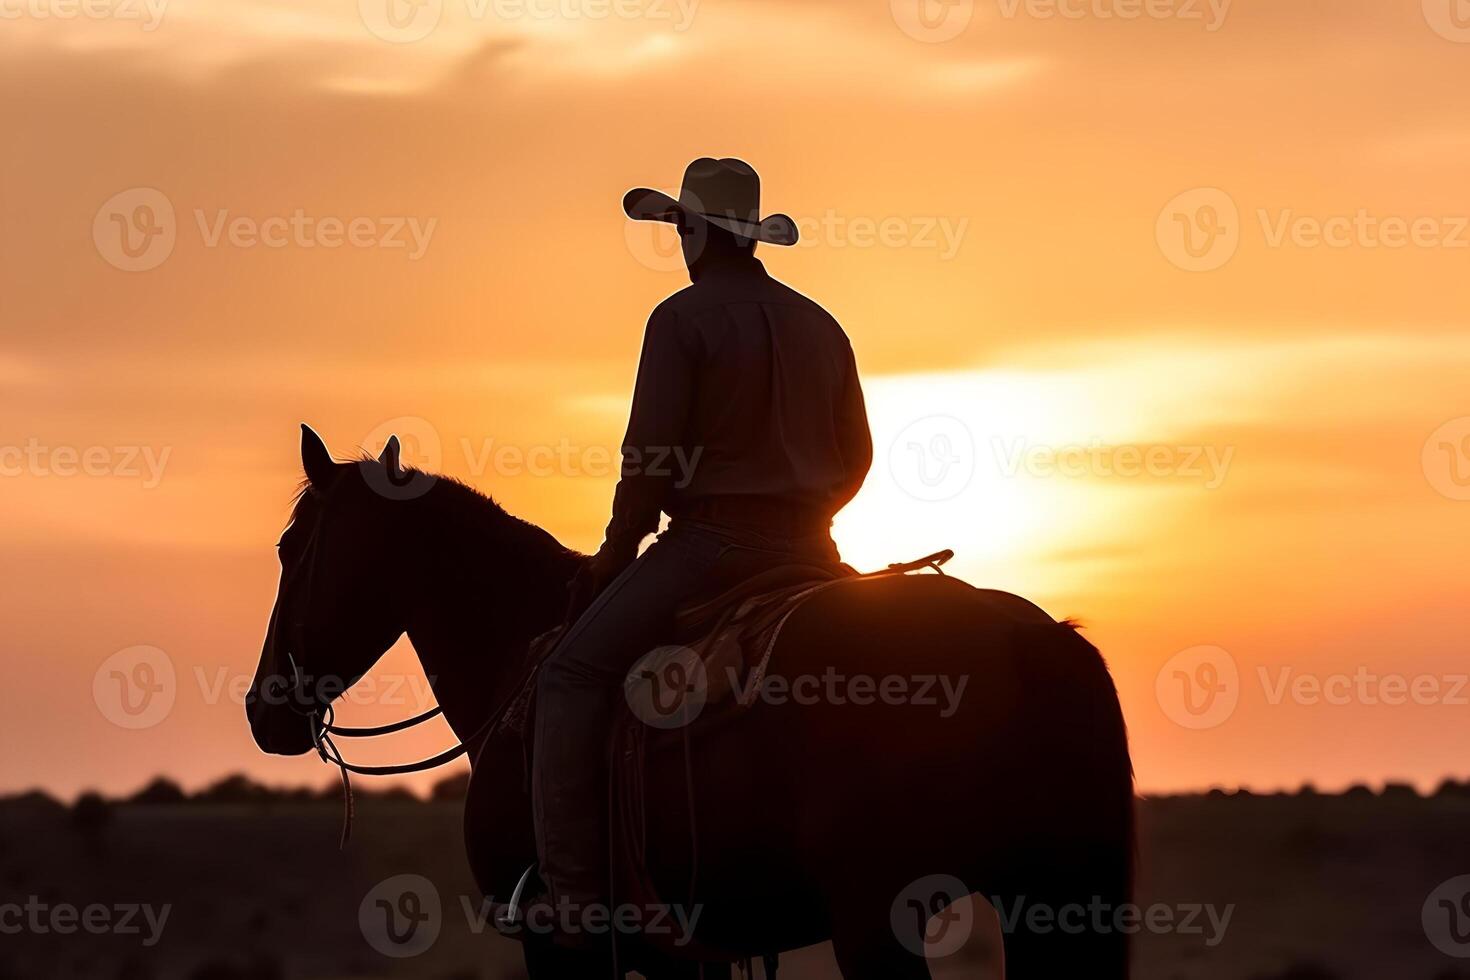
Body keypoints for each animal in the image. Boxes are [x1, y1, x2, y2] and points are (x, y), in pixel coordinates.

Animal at [246, 426, 1134, 975]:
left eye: (292, 548)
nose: (263, 710)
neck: (517, 650)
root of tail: (1031, 639)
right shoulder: (685, 953)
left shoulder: (555, 947)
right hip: (1048, 898)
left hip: (879, 915)